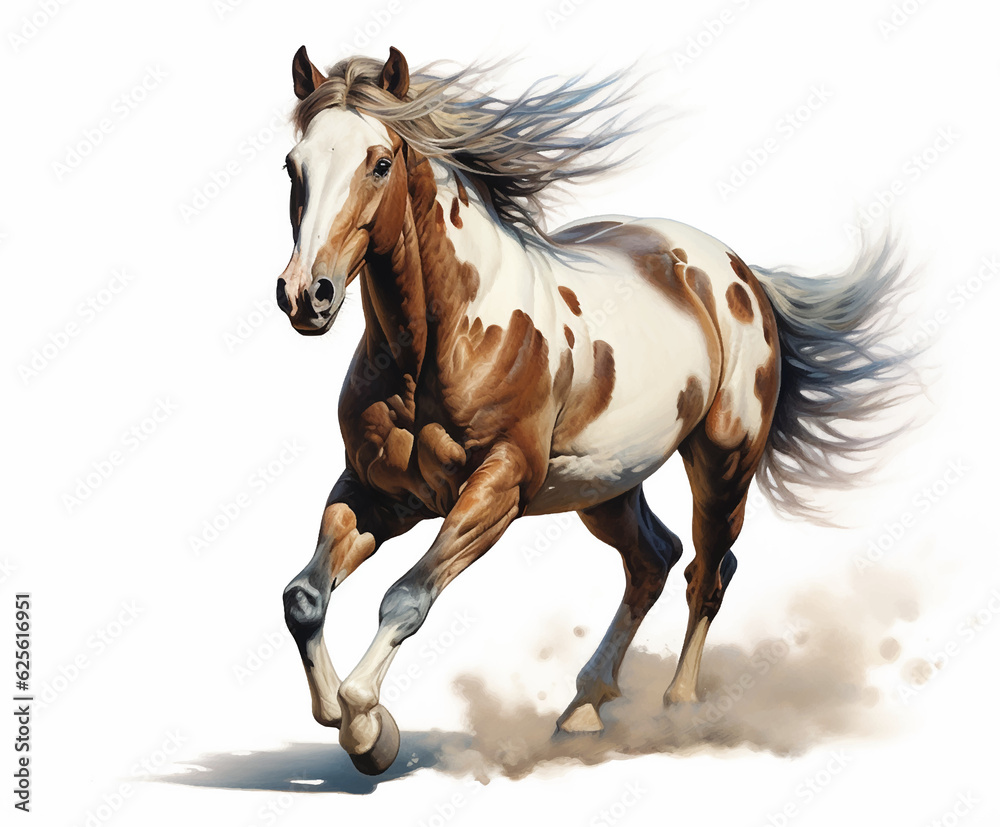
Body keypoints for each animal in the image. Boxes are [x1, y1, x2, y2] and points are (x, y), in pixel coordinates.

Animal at [275, 46, 914, 776]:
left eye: (379, 163)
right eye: (293, 165)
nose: (306, 294)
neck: (440, 342)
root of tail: (738, 271)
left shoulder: (498, 488)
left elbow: (405, 597)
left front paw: (366, 726)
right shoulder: (378, 491)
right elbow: (303, 597)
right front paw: (342, 714)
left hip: (723, 465)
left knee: (708, 570)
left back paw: (678, 707)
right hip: (605, 485)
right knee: (654, 560)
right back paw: (582, 708)